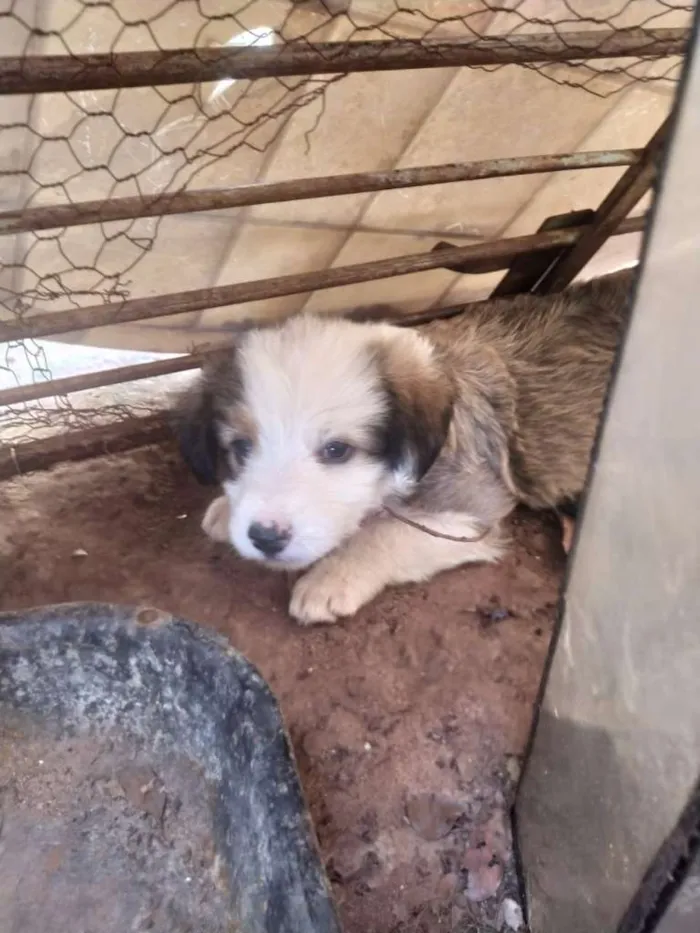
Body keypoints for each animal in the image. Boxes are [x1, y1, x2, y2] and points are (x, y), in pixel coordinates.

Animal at [175, 268, 636, 628]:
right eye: (241, 447)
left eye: (337, 450)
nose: (265, 537)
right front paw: (226, 509)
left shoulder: (473, 512)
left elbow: (388, 532)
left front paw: (331, 579)